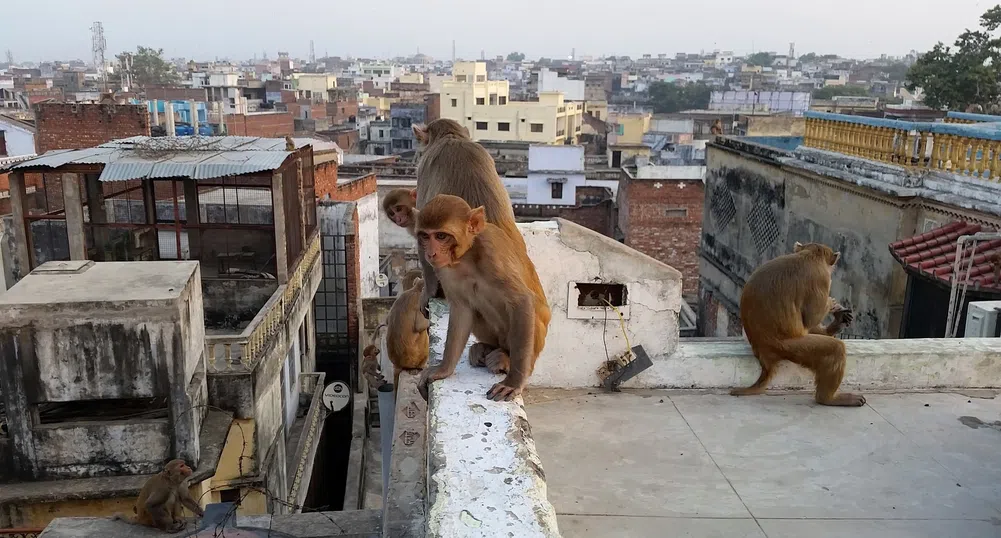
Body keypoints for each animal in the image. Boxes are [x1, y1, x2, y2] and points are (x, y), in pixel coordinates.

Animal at [414, 195, 552, 400]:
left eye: (441, 236)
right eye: (425, 236)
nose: (430, 253)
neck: (466, 256)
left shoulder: (492, 252)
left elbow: (522, 300)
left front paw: (513, 383)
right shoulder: (445, 269)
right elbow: (462, 310)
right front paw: (443, 369)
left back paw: (505, 358)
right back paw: (485, 348)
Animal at [732, 241, 864, 404]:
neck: (810, 255)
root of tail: (763, 352)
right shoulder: (822, 278)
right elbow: (811, 317)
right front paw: (831, 303)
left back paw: (833, 327)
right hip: (790, 347)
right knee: (835, 349)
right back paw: (827, 399)